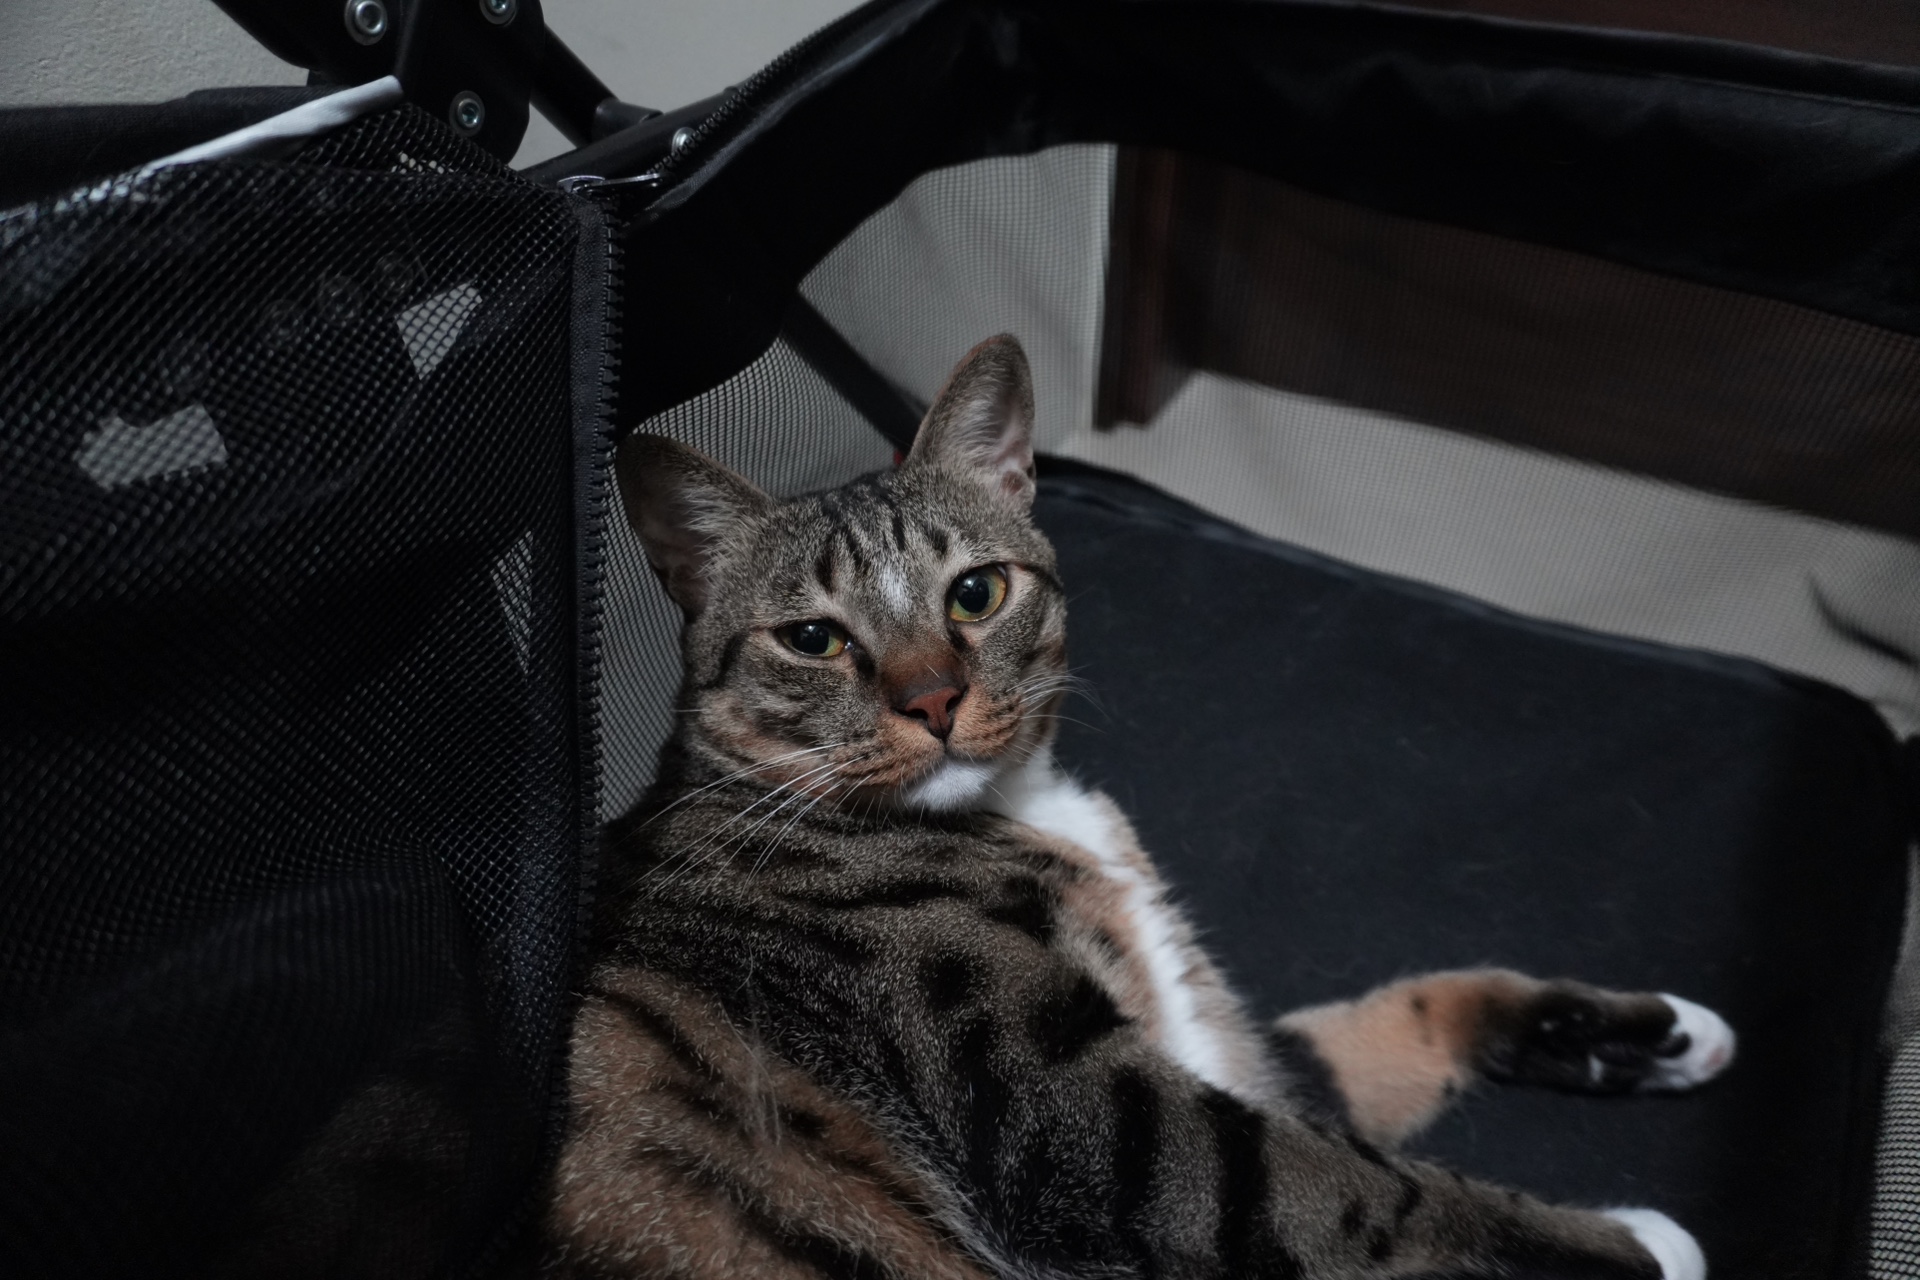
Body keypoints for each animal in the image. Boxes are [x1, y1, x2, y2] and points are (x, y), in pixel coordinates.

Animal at [545, 335, 1735, 1279]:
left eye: (976, 591)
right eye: (812, 638)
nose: (931, 699)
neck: (1026, 804)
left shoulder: (1225, 1045)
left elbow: (1386, 1026)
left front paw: (1643, 1033)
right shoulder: (1106, 1126)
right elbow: (1371, 1190)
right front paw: (1633, 1243)